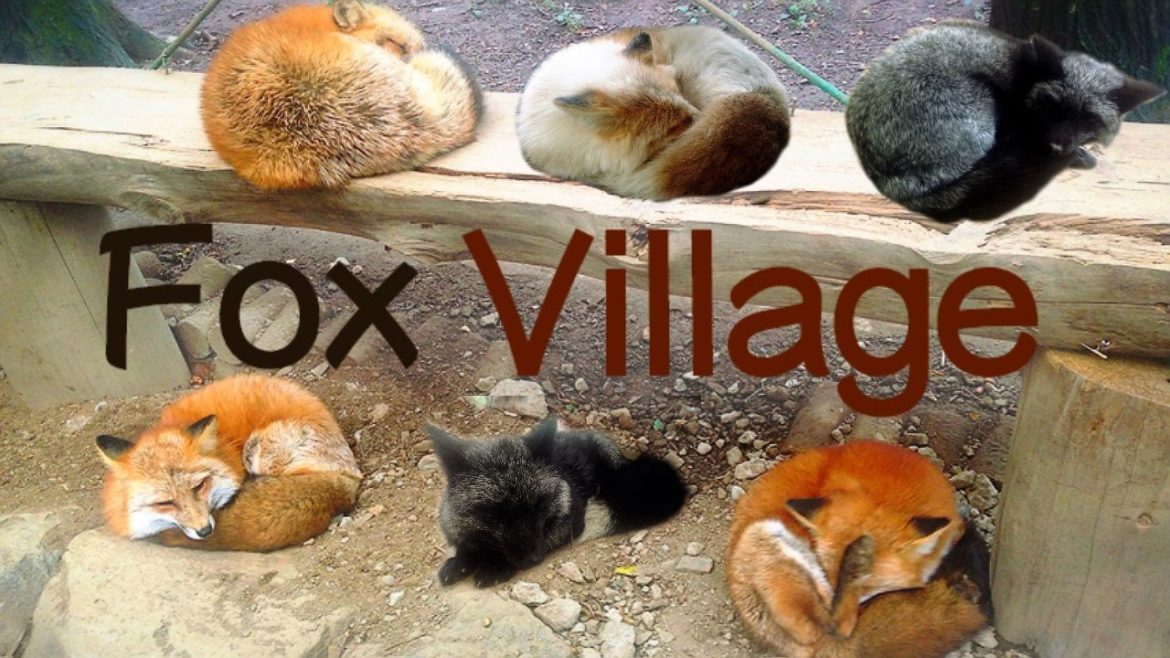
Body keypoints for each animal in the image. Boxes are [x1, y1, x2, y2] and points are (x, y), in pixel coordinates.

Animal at [96, 374, 362, 551]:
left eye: (199, 486)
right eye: (165, 503)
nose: (205, 530)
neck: (224, 449)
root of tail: (351, 476)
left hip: (257, 449)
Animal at [428, 417, 687, 587]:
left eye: (538, 505)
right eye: (494, 513)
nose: (531, 560)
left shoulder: (571, 526)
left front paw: (496, 565)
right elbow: (465, 544)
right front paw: (461, 560)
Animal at [846, 21, 1166, 221]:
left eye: (1088, 119)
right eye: (1053, 107)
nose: (1058, 146)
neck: (1028, 81)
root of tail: (886, 181)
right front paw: (1075, 156)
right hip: (981, 105)